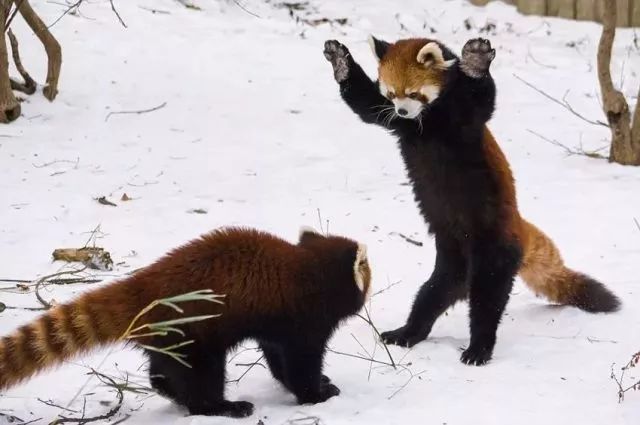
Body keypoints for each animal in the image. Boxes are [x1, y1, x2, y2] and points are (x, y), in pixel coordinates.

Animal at [0, 227, 370, 416]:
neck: (307, 269)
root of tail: (144, 286)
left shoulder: (276, 325)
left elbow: (279, 360)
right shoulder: (302, 319)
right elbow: (298, 366)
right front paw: (318, 394)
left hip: (170, 335)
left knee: (166, 369)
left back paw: (170, 391)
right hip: (195, 331)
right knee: (202, 375)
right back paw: (222, 406)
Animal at [324, 36, 620, 364]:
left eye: (413, 93)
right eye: (391, 94)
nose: (401, 111)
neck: (427, 121)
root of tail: (520, 227)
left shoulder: (465, 117)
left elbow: (483, 96)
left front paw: (476, 61)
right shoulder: (396, 122)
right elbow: (365, 104)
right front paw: (341, 62)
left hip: (494, 249)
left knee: (486, 301)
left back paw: (479, 347)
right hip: (452, 263)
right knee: (431, 295)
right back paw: (408, 332)